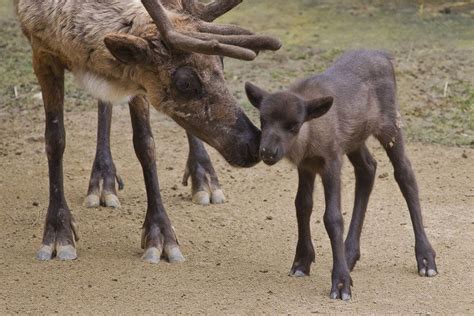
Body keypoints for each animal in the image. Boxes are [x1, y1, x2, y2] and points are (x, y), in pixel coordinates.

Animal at [246, 50, 438, 300]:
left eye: (294, 125)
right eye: (263, 120)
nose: (267, 152)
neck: (309, 138)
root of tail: (383, 55)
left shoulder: (331, 161)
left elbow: (333, 218)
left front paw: (340, 283)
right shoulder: (306, 166)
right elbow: (302, 205)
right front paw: (302, 262)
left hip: (390, 125)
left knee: (405, 174)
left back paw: (425, 258)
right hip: (355, 138)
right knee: (368, 168)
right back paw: (349, 254)